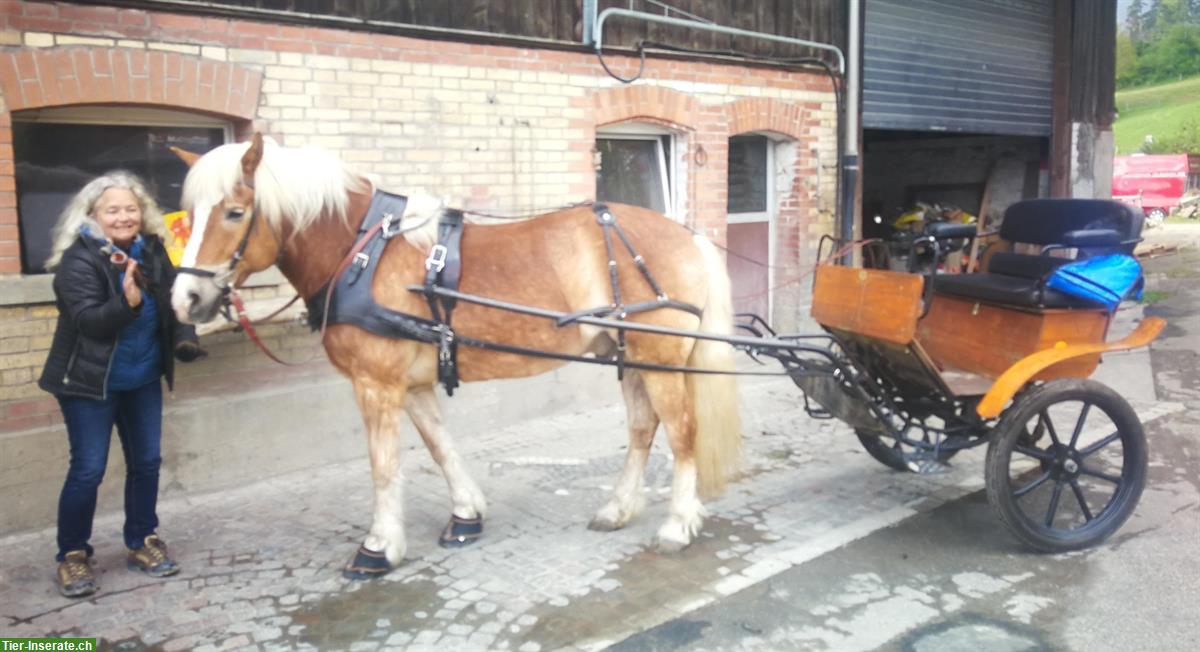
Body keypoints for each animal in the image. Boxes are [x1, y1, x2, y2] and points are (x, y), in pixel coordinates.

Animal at [171, 132, 739, 576]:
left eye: (235, 212)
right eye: (190, 216)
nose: (186, 299)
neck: (362, 255)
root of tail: (688, 234)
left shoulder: (376, 383)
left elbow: (383, 465)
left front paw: (379, 546)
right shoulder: (413, 383)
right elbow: (440, 446)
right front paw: (467, 513)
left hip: (659, 356)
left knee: (682, 433)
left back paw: (678, 524)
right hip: (633, 356)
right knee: (643, 429)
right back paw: (619, 508)